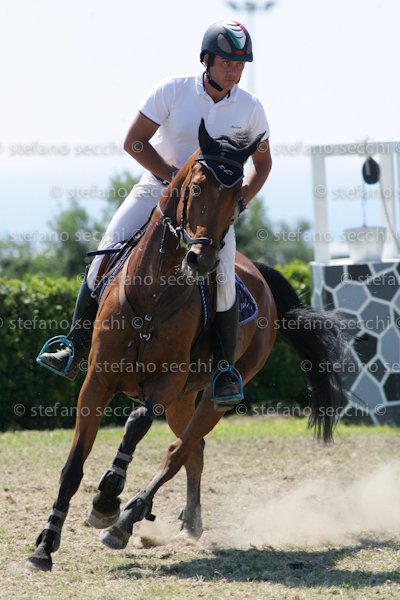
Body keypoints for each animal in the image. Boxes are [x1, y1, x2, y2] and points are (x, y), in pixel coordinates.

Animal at [28, 120, 344, 571]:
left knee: (179, 451)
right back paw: (185, 522)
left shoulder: (166, 383)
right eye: (195, 187)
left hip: (211, 396)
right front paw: (45, 544)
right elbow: (73, 464)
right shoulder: (97, 382)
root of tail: (258, 272)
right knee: (193, 449)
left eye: (237, 195)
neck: (154, 294)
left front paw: (107, 499)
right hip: (183, 401)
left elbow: (136, 423)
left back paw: (125, 521)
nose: (201, 261)